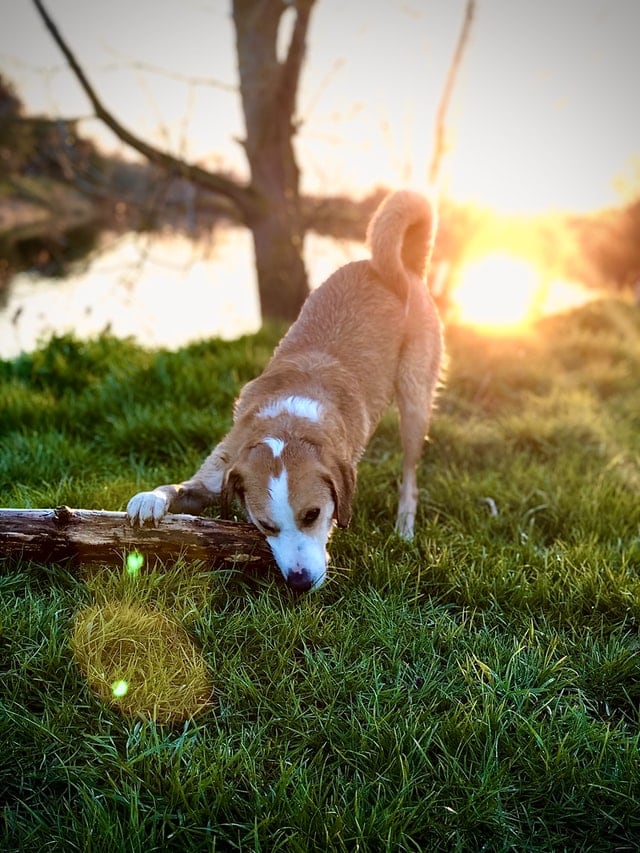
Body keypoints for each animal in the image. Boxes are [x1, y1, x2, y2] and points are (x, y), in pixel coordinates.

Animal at [127, 191, 442, 592]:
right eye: (265, 525)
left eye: (313, 514)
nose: (300, 582)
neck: (288, 424)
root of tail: (402, 266)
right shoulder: (219, 472)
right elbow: (178, 487)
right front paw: (149, 499)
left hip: (415, 400)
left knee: (410, 474)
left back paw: (404, 528)